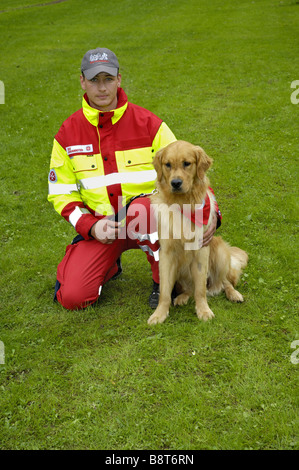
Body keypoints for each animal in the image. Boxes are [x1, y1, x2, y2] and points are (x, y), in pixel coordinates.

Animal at [148, 140, 248, 324]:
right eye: (168, 165)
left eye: (187, 163)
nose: (176, 183)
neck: (182, 204)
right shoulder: (166, 254)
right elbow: (165, 291)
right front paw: (159, 314)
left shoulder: (201, 250)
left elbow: (200, 290)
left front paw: (203, 310)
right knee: (190, 288)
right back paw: (181, 297)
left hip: (220, 251)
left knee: (224, 282)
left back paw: (234, 294)